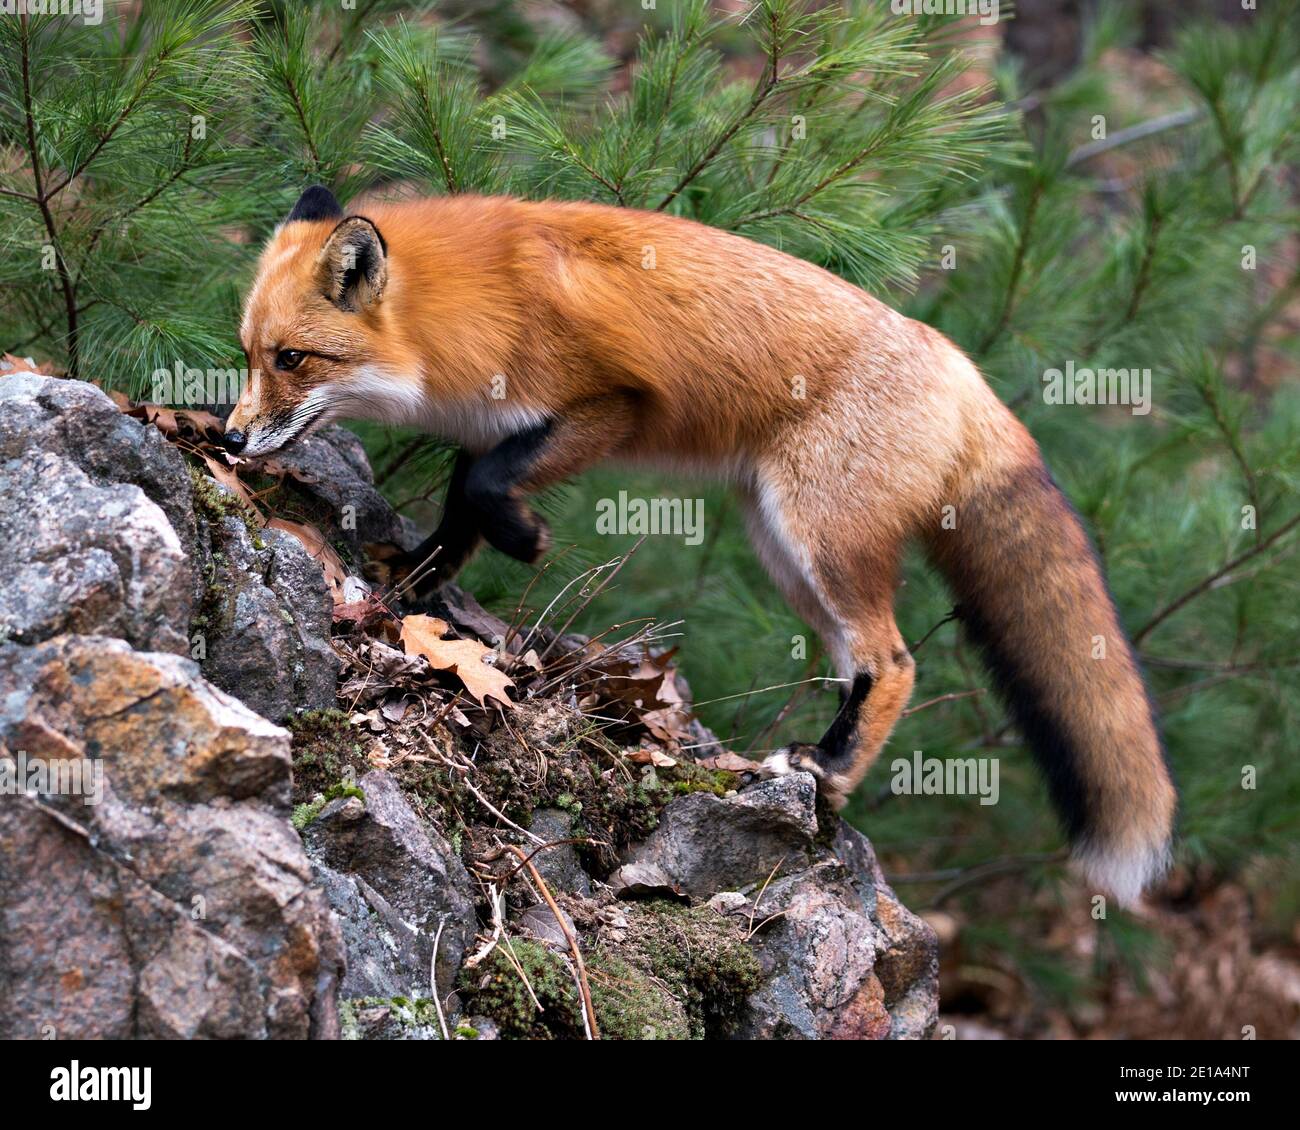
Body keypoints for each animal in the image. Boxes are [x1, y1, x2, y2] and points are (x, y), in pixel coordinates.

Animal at [226, 187, 1180, 910]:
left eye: (292, 359)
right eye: (249, 354)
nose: (231, 440)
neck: (474, 302)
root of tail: (959, 364)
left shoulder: (608, 404)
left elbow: (491, 490)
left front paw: (525, 540)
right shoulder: (494, 426)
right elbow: (464, 507)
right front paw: (419, 580)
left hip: (818, 538)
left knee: (898, 661)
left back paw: (828, 769)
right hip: (784, 551)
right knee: (858, 663)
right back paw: (814, 770)